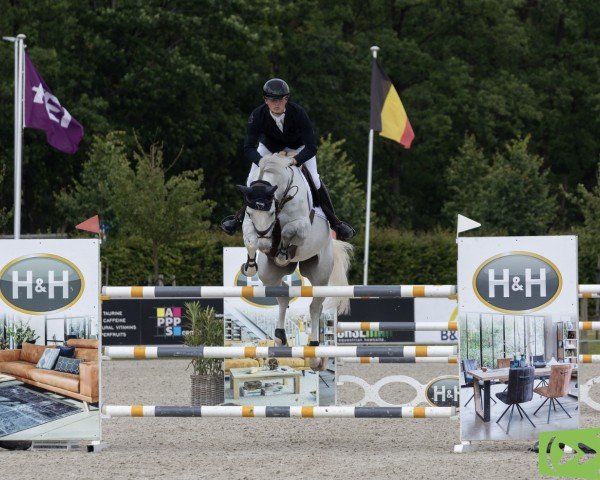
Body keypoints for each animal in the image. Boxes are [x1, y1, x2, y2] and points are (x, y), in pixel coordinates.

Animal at [238, 154, 352, 372]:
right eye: (249, 212)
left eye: (271, 213)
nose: (265, 244)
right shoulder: (249, 225)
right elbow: (250, 240)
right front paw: (250, 266)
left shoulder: (301, 227)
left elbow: (288, 231)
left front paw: (282, 251)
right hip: (269, 274)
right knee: (283, 295)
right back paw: (280, 337)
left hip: (320, 273)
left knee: (315, 307)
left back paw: (315, 351)